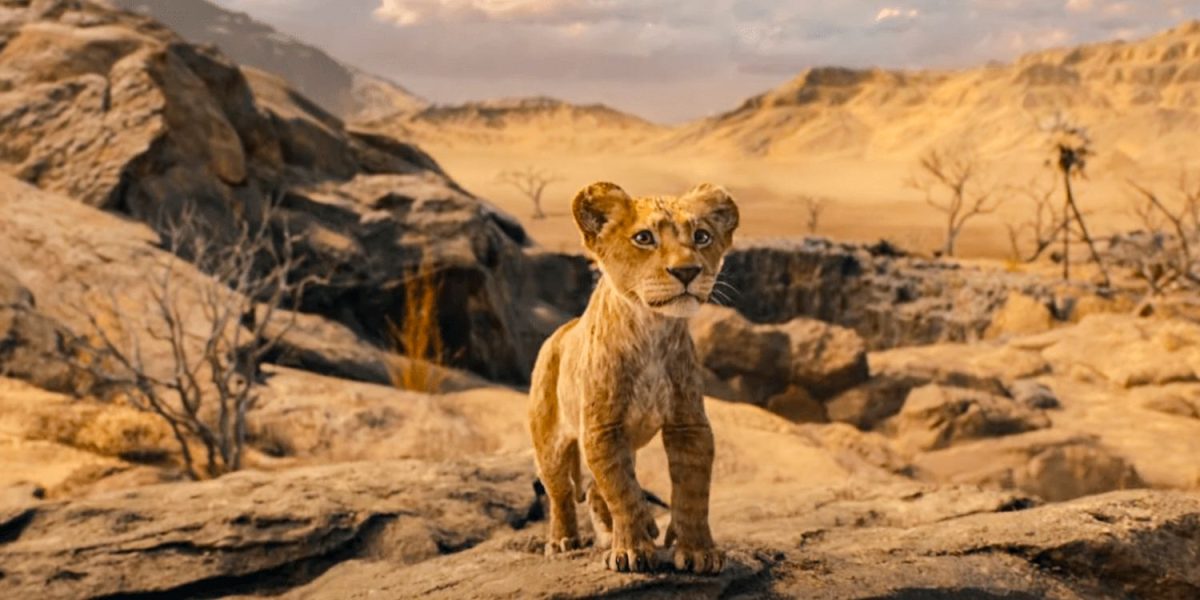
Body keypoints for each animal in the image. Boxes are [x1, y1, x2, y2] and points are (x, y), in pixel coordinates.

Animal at [528, 181, 738, 575]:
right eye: (644, 238)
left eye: (702, 236)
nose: (687, 271)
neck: (652, 330)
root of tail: (559, 331)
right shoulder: (603, 428)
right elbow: (622, 492)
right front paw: (632, 550)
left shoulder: (689, 425)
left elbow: (692, 492)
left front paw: (698, 551)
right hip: (549, 442)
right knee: (560, 492)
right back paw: (563, 540)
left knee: (596, 489)